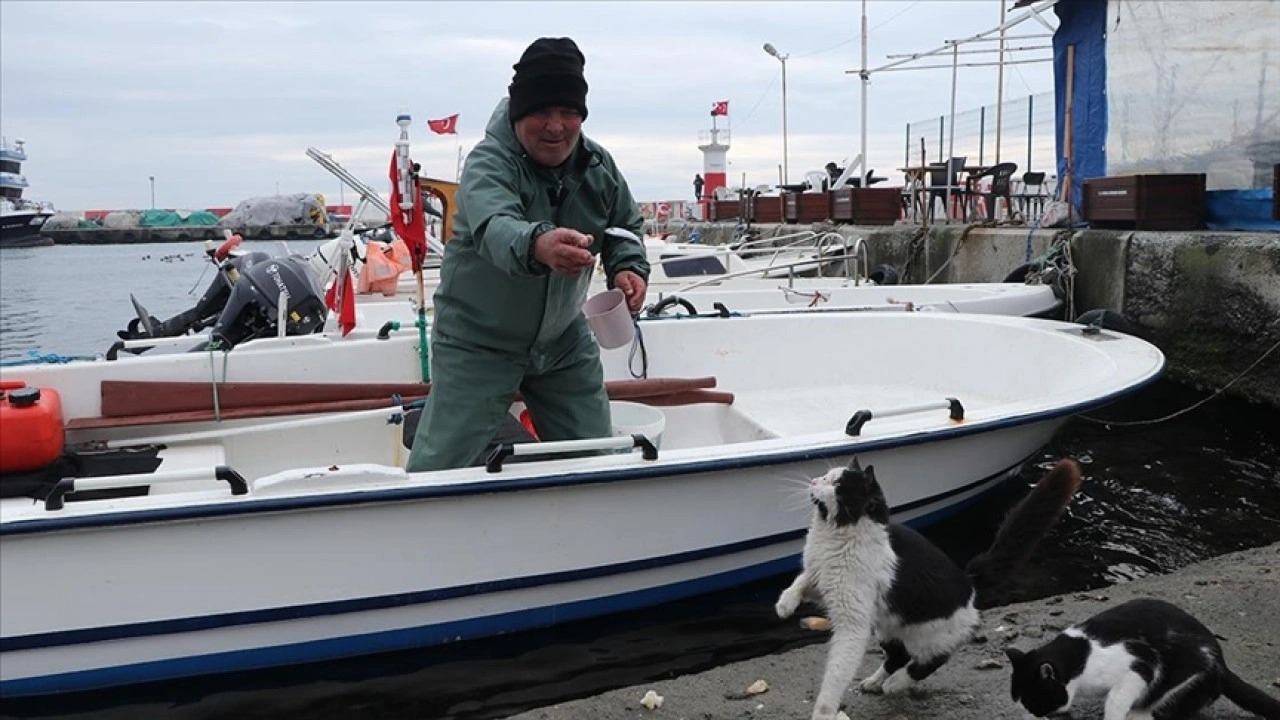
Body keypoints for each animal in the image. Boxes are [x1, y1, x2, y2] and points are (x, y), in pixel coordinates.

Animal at [773, 456, 1085, 712]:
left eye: (836, 483)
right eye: (826, 476)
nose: (814, 481)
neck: (832, 535)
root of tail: (970, 583)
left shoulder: (853, 622)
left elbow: (836, 674)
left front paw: (824, 710)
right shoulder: (820, 576)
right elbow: (801, 580)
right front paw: (785, 605)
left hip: (928, 636)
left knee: (933, 659)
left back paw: (896, 683)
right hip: (887, 626)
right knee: (897, 655)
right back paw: (876, 681)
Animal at [1008, 594, 1280, 717]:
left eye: (1033, 702)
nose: (1028, 716)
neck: (1080, 657)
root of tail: (1222, 663)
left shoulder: (1139, 665)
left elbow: (1115, 703)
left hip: (1181, 678)